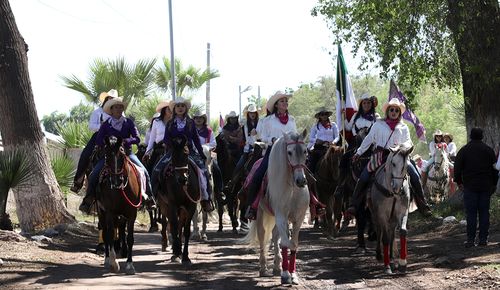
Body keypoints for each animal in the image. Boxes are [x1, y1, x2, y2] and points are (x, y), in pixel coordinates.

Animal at [97, 136, 143, 274]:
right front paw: (114, 263)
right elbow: (110, 235)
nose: (116, 181)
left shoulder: (132, 214)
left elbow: (130, 238)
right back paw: (107, 259)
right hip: (101, 213)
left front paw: (129, 264)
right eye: (106, 156)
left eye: (122, 155)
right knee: (105, 233)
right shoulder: (110, 213)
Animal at [159, 136, 200, 266]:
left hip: (182, 210)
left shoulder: (191, 206)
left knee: (180, 225)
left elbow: (186, 230)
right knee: (171, 225)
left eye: (186, 154)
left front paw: (186, 256)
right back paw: (174, 250)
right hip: (165, 206)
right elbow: (174, 227)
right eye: (173, 155)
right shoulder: (172, 205)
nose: (182, 179)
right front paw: (176, 253)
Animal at [241, 131, 308, 286]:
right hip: (261, 215)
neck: (292, 189)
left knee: (275, 235)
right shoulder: (281, 216)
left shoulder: (298, 219)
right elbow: (285, 243)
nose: (301, 181)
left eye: (305, 151)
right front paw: (285, 275)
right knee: (263, 236)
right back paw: (263, 268)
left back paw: (277, 267)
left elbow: (293, 244)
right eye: (289, 152)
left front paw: (292, 275)